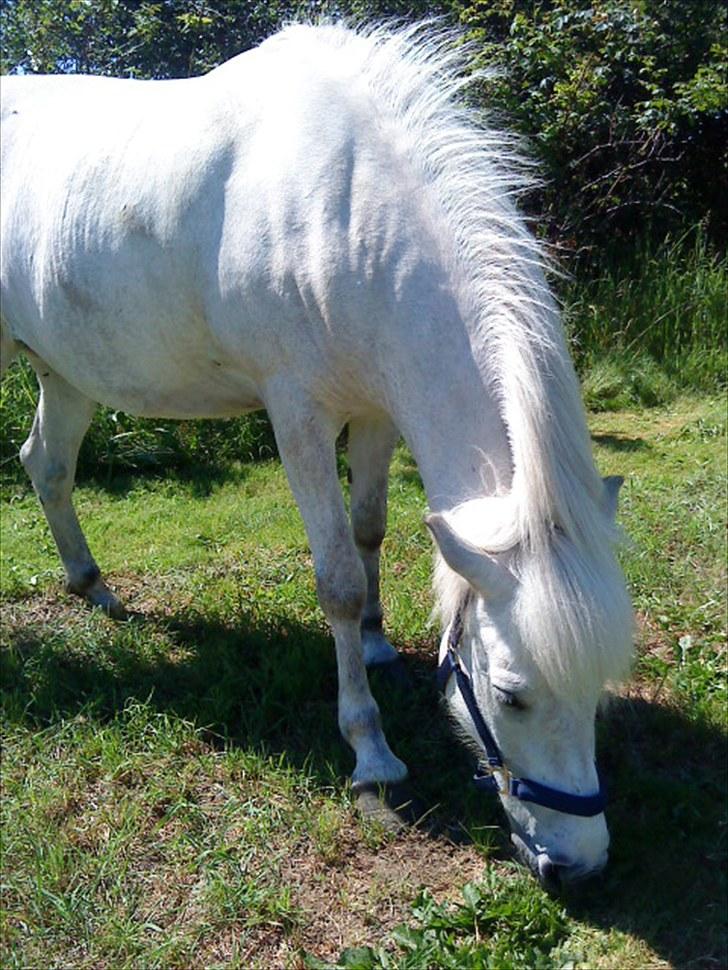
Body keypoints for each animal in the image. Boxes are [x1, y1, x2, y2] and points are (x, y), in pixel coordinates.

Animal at [0, 22, 636, 884]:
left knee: (48, 465)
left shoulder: (376, 410)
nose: (581, 864)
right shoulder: (297, 416)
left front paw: (375, 642)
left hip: (64, 373)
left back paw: (92, 586)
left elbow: (369, 531)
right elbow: (335, 577)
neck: (343, 212)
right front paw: (371, 751)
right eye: (512, 696)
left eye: (601, 686)